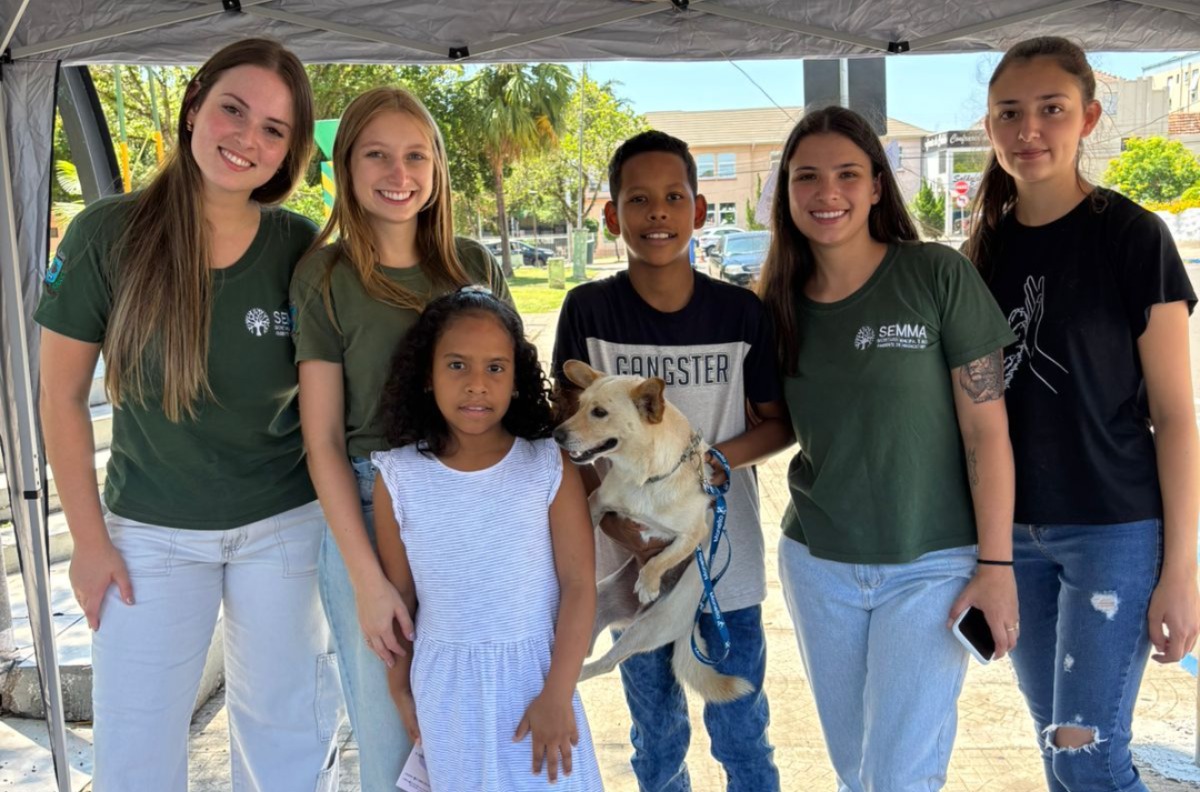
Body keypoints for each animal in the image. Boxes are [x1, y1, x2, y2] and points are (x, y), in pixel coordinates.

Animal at [552, 362, 748, 700]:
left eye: (600, 412)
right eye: (579, 406)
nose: (556, 434)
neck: (643, 477)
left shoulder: (695, 532)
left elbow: (662, 558)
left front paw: (648, 582)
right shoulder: (598, 501)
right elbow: (588, 520)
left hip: (650, 627)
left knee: (606, 662)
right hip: (598, 600)